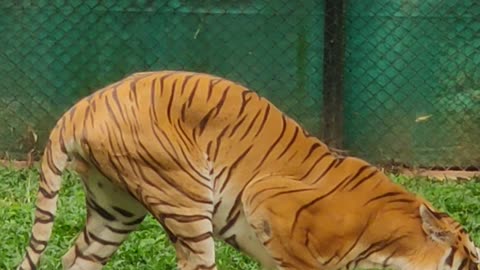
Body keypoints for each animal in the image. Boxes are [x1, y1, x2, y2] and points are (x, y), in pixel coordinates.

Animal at [15, 70, 480, 270]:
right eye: (469, 259)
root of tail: (83, 106)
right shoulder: (270, 203)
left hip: (115, 211)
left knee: (76, 258)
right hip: (184, 203)